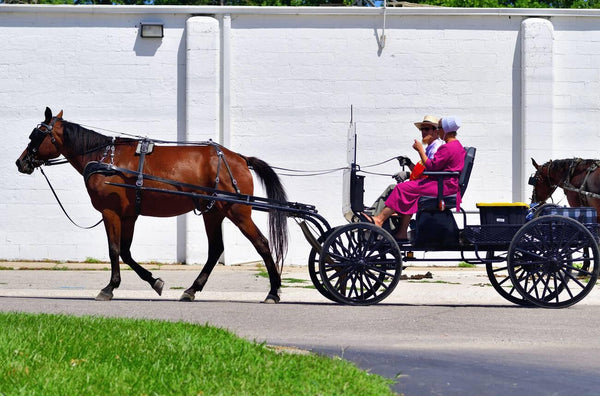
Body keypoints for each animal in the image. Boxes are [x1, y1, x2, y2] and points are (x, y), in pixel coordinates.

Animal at [13, 106, 286, 302]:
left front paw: (109, 288)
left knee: (262, 244)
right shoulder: (129, 215)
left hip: (238, 211)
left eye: (36, 135)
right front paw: (154, 281)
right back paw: (191, 290)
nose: (20, 162)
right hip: (213, 213)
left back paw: (273, 292)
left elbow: (114, 250)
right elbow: (125, 251)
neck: (105, 160)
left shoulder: (111, 212)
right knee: (215, 250)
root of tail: (239, 158)